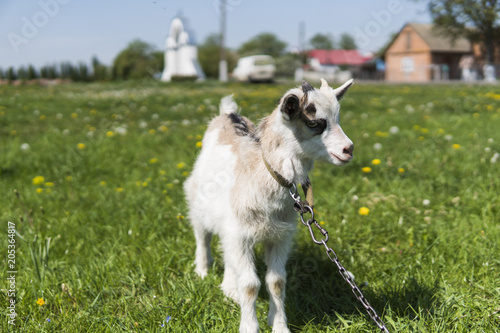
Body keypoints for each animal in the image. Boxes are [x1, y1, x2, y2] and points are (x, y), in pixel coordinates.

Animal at [185, 79, 356, 330]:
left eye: (338, 118)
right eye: (313, 123)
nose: (349, 149)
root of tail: (227, 114)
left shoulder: (278, 236)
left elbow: (276, 281)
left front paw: (279, 326)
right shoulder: (240, 234)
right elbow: (250, 284)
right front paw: (249, 327)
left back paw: (229, 289)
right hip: (197, 202)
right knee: (202, 237)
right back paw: (202, 271)